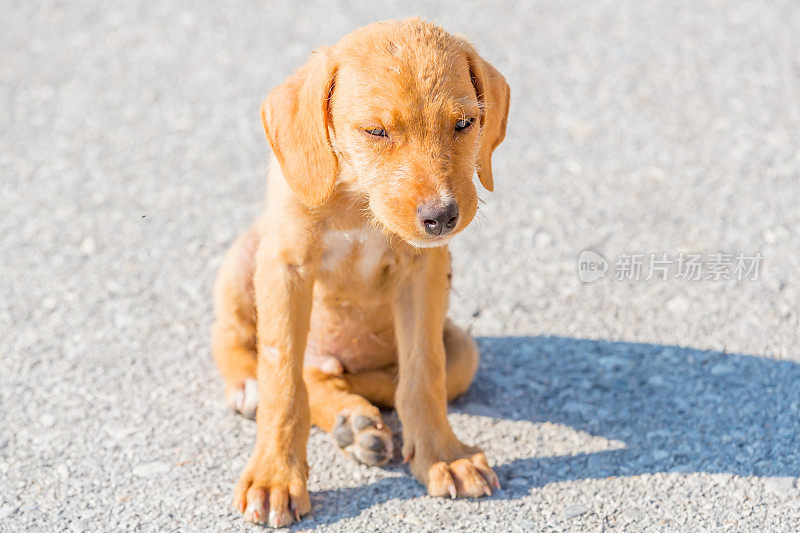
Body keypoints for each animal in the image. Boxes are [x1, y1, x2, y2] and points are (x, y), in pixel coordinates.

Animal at [209, 17, 510, 528]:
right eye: (375, 131)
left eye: (464, 123)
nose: (442, 217)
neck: (355, 199)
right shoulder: (285, 265)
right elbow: (282, 379)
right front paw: (275, 477)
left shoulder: (424, 270)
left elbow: (422, 375)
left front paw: (442, 456)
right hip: (245, 257)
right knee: (241, 340)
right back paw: (255, 387)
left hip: (463, 351)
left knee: (349, 376)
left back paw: (355, 423)